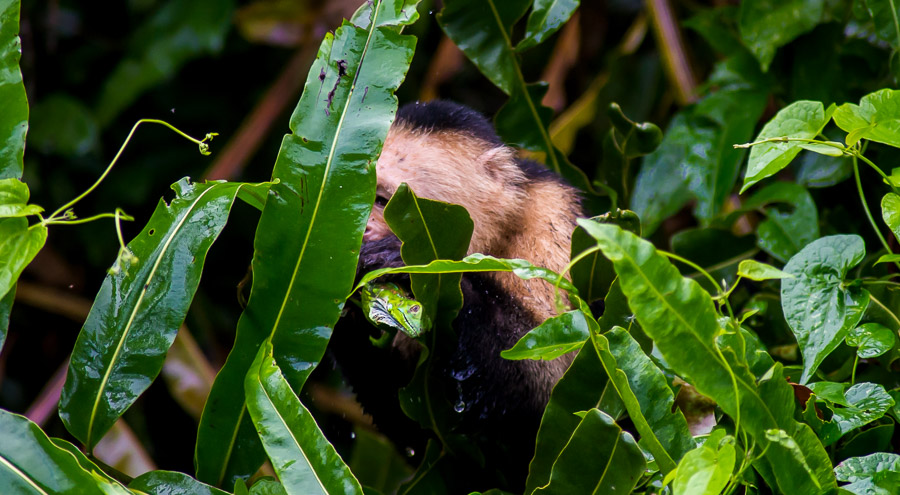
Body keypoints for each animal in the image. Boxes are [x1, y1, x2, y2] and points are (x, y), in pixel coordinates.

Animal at [326, 101, 580, 492]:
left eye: (384, 201)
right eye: (356, 198)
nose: (358, 233)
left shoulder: (552, 221)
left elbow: (552, 387)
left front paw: (418, 266)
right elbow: (415, 433)